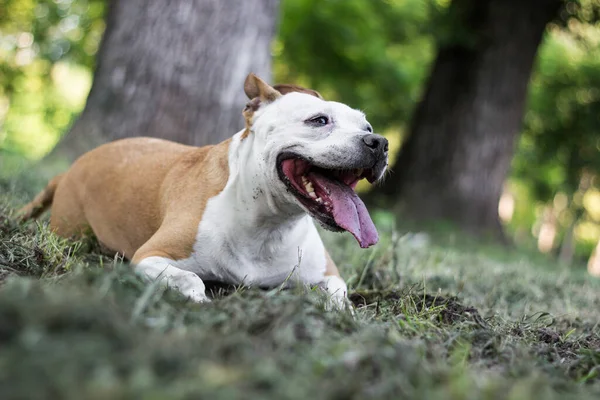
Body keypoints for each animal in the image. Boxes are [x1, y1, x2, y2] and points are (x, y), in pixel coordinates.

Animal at [19, 75, 390, 304]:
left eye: (367, 126)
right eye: (319, 120)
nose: (379, 142)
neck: (267, 223)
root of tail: (69, 169)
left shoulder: (329, 274)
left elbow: (339, 296)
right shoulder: (150, 256)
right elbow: (191, 279)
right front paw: (198, 300)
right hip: (72, 231)